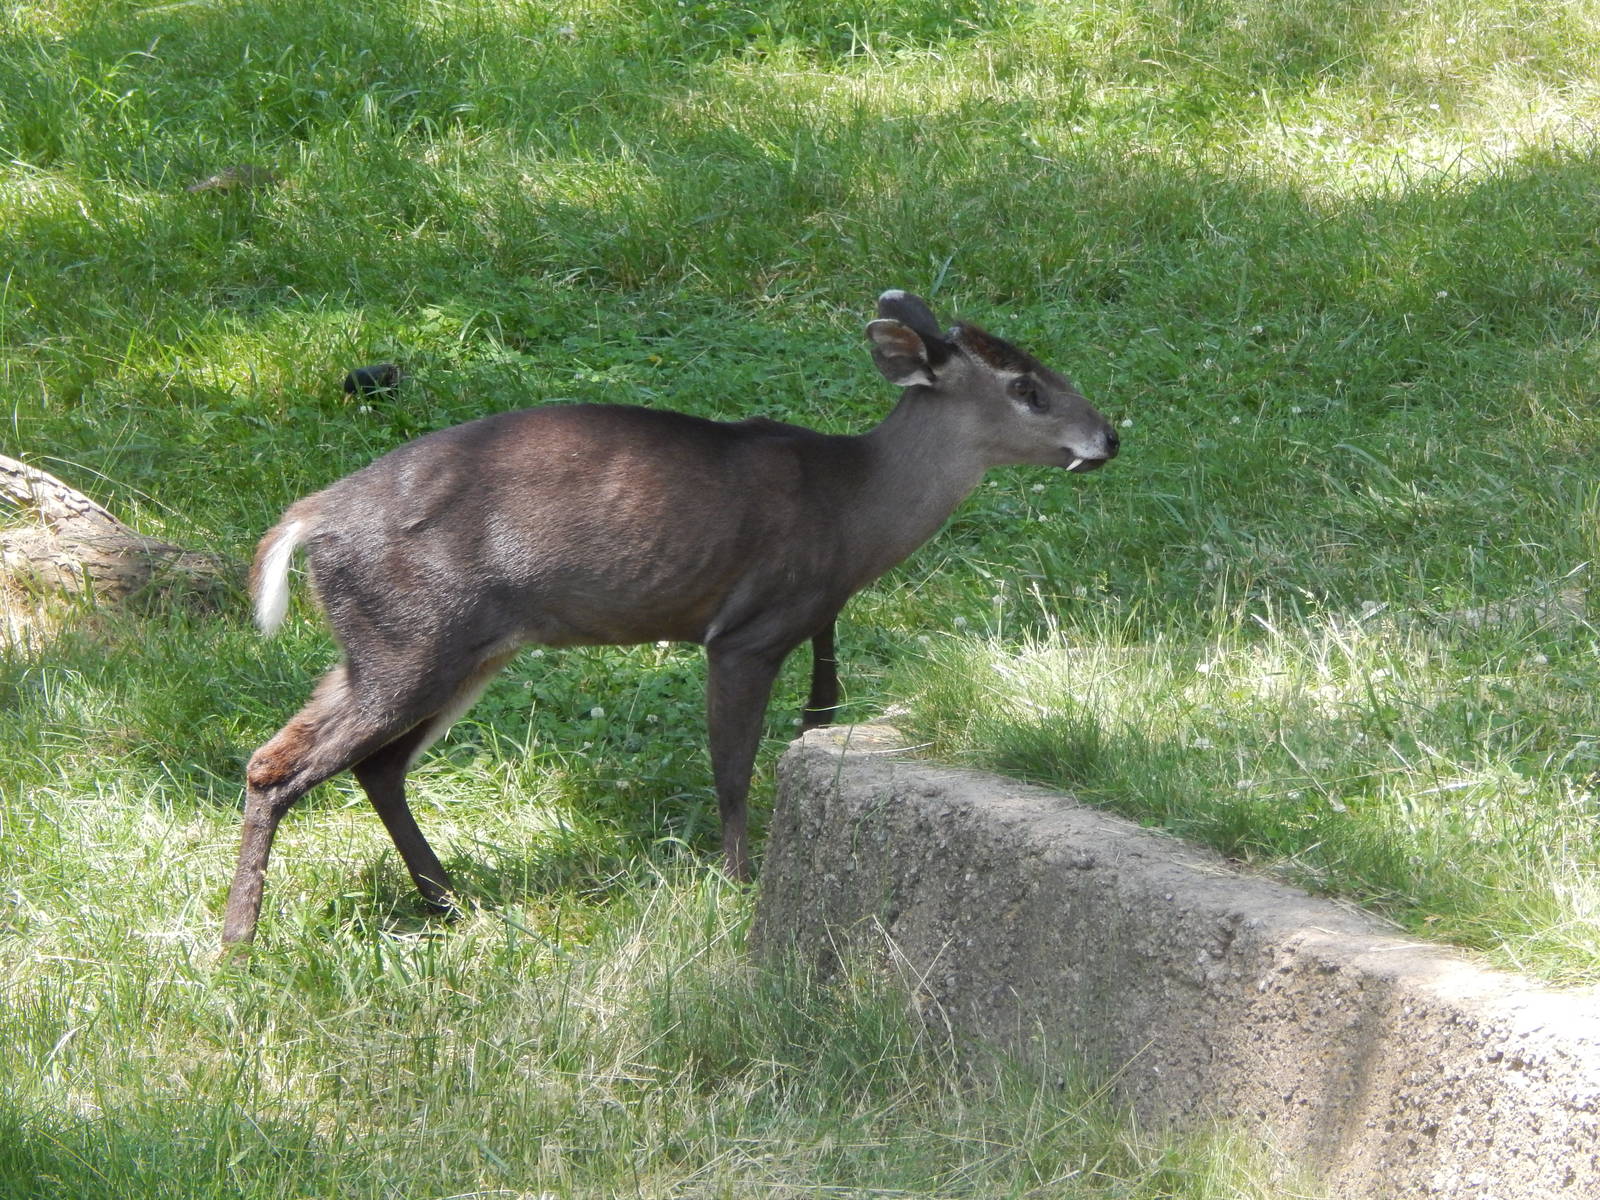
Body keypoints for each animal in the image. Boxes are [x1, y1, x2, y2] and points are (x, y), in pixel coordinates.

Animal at [220, 290, 1118, 945]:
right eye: (1026, 389)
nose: (1107, 437)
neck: (853, 506)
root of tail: (311, 518)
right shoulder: (746, 633)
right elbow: (732, 766)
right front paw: (739, 882)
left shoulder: (812, 624)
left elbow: (811, 720)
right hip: (411, 636)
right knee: (282, 765)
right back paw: (241, 939)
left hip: (422, 647)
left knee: (365, 763)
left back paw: (447, 903)